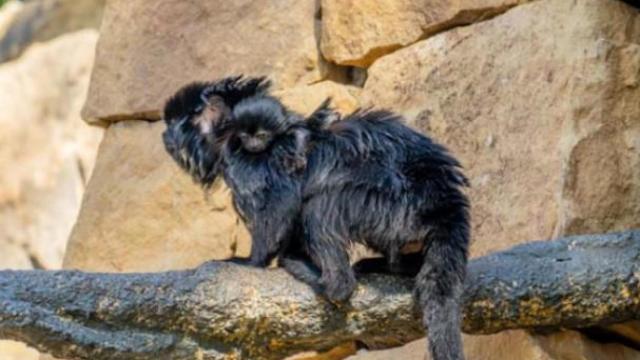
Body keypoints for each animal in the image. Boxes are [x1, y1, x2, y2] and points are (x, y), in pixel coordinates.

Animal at [162, 76, 468, 360]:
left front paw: (251, 262)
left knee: (319, 210)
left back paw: (328, 282)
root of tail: (443, 197)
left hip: (391, 203)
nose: (165, 135)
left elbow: (281, 204)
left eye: (173, 123)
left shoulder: (246, 160)